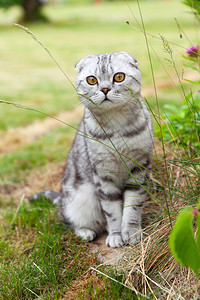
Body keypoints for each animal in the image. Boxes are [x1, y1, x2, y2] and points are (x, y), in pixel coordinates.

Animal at [32, 51, 154, 248]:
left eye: (119, 77)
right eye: (91, 80)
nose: (104, 89)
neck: (116, 122)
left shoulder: (139, 167)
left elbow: (132, 206)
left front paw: (132, 232)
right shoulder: (103, 174)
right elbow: (112, 211)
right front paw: (116, 235)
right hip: (78, 201)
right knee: (69, 221)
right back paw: (86, 232)